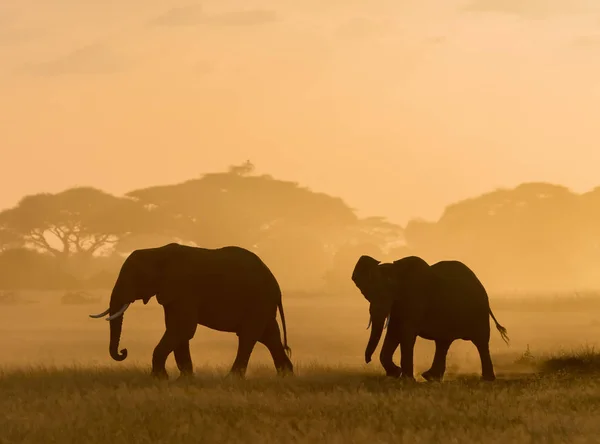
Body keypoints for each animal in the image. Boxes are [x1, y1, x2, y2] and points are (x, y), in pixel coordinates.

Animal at [89, 243, 292, 378]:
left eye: (135, 277)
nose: (123, 352)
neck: (156, 252)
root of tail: (276, 286)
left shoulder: (183, 289)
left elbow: (181, 329)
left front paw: (160, 379)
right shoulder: (172, 295)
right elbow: (178, 331)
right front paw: (184, 380)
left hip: (257, 301)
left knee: (248, 336)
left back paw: (232, 379)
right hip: (262, 304)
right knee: (269, 336)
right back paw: (286, 376)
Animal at [354, 255, 508, 384]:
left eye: (386, 292)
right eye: (366, 294)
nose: (368, 360)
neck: (395, 272)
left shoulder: (415, 298)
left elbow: (406, 333)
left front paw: (406, 379)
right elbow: (394, 332)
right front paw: (395, 374)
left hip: (478, 312)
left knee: (480, 342)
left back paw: (487, 379)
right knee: (443, 342)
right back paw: (431, 378)